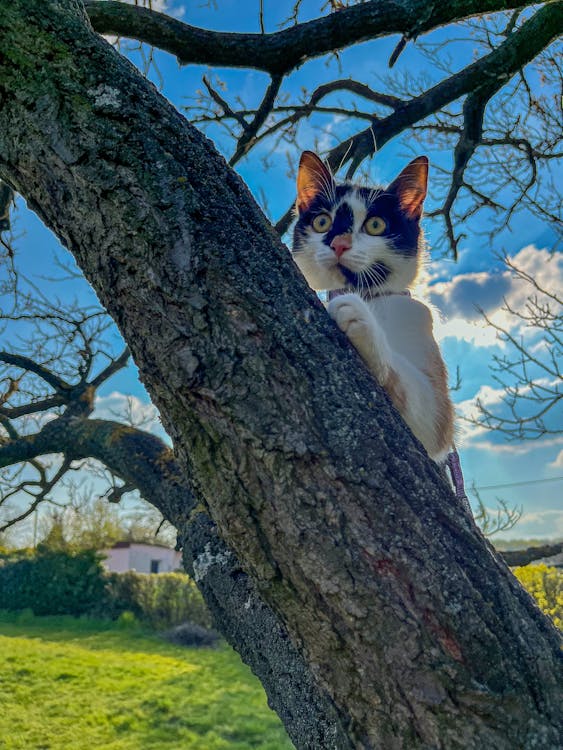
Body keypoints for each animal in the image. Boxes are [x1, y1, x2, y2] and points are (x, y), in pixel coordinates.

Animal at [294, 151, 456, 464]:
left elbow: (422, 402)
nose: (339, 244)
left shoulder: (437, 420)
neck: (369, 297)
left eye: (376, 225)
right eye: (322, 222)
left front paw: (356, 314)